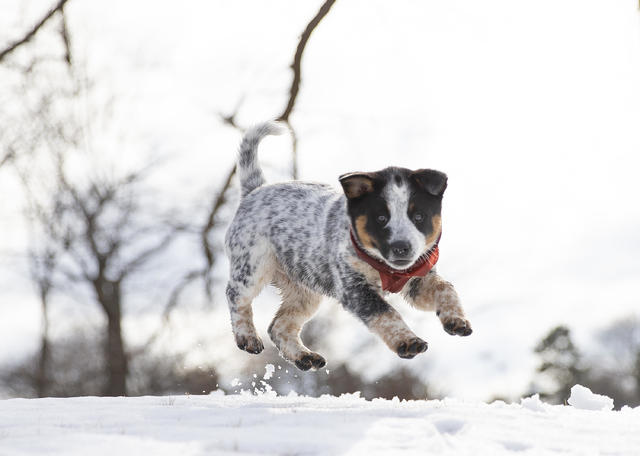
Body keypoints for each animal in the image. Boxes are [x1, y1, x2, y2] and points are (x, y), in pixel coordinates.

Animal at [224, 121, 470, 370]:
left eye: (419, 216)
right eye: (381, 218)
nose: (402, 247)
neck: (383, 267)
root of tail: (255, 190)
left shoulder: (416, 280)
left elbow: (446, 288)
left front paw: (456, 319)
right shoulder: (354, 288)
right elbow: (386, 313)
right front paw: (407, 341)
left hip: (304, 290)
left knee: (279, 326)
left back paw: (304, 356)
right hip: (253, 266)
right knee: (236, 295)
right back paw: (248, 337)